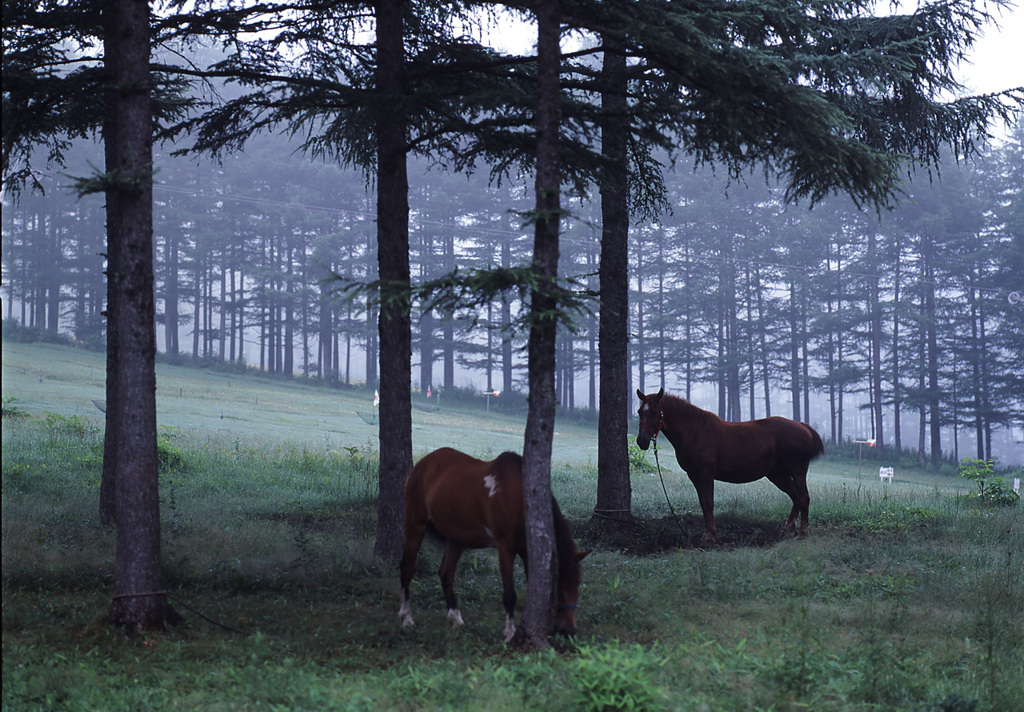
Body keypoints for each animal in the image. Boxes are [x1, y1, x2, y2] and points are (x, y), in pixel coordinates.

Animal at [401, 450, 593, 647]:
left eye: (578, 582)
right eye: (557, 583)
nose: (569, 630)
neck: (518, 498)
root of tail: (422, 464)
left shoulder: (527, 553)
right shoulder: (505, 548)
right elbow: (509, 595)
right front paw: (509, 634)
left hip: (455, 539)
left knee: (446, 574)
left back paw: (456, 619)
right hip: (415, 524)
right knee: (407, 568)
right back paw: (407, 618)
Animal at [634, 389, 827, 540]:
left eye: (654, 412)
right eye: (639, 411)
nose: (642, 441)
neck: (694, 431)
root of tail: (802, 426)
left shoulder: (706, 473)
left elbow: (708, 502)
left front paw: (711, 535)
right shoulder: (694, 475)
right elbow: (702, 503)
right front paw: (706, 532)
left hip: (797, 471)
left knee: (803, 497)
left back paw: (803, 533)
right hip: (777, 475)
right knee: (795, 497)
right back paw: (789, 528)